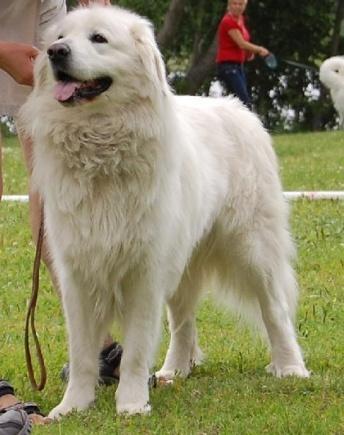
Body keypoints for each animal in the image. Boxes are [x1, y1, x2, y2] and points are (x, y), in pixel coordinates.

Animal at [18, 4, 310, 418]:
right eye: (60, 37)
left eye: (98, 38)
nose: (55, 52)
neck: (101, 149)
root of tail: (234, 106)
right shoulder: (78, 276)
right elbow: (82, 354)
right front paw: (72, 407)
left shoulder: (143, 273)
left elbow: (136, 350)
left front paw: (131, 404)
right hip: (182, 261)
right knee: (183, 321)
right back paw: (175, 370)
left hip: (252, 249)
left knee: (275, 310)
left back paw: (290, 367)